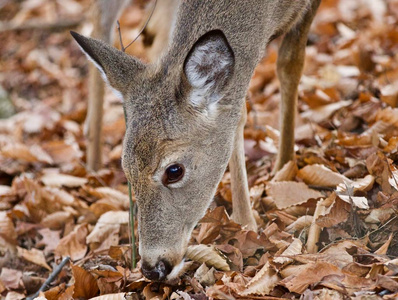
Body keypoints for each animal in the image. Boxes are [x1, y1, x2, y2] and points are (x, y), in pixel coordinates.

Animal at [70, 0, 320, 282]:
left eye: (174, 171)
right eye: (127, 170)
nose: (152, 268)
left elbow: (290, 63)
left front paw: (282, 169)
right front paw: (247, 222)